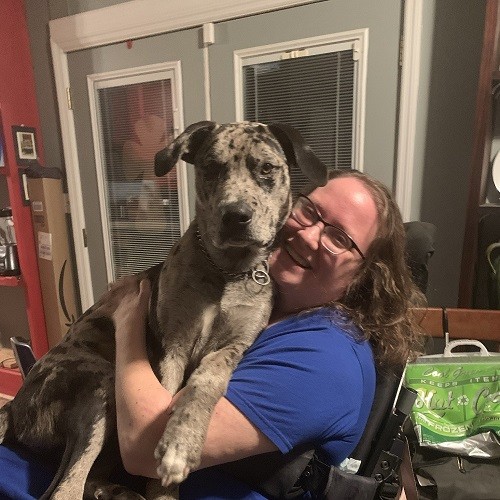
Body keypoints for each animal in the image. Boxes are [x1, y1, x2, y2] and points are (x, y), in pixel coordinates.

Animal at [0, 119, 328, 498]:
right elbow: (167, 397)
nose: (235, 216)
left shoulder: (234, 346)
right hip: (100, 384)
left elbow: (206, 380)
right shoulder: (173, 347)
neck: (227, 271)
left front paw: (181, 443)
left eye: (266, 168)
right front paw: (168, 464)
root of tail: (13, 405)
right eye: (211, 168)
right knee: (65, 488)